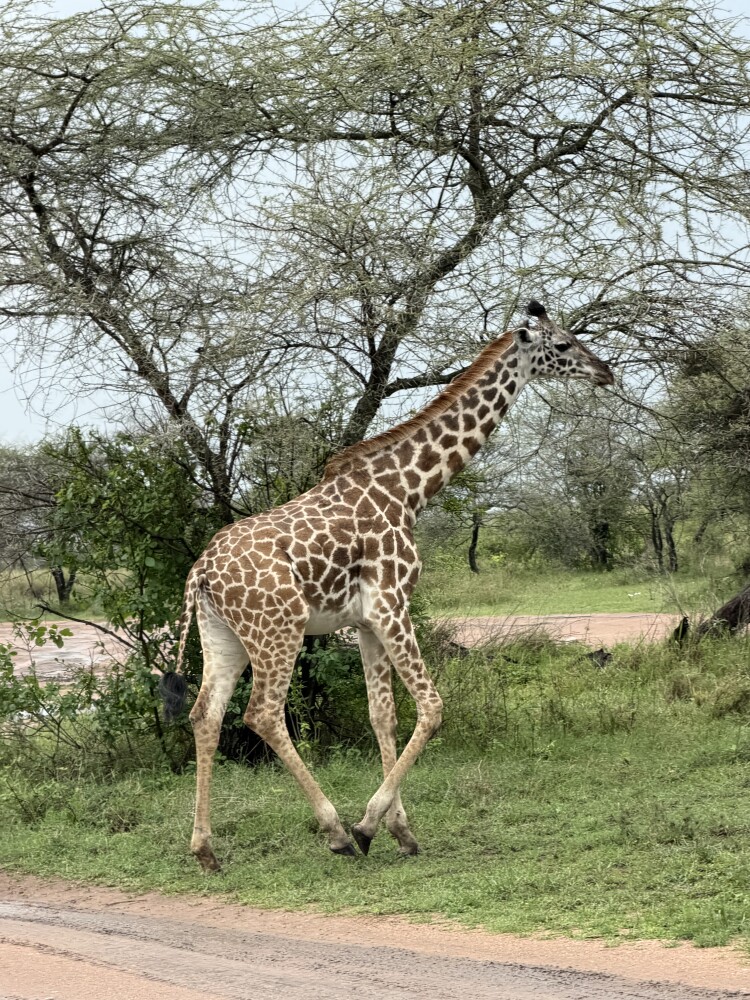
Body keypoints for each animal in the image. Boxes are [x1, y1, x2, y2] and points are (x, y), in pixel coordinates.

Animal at [160, 300, 614, 870]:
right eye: (563, 344)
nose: (606, 371)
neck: (409, 489)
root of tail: (200, 573)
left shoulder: (365, 621)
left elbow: (384, 715)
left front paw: (400, 829)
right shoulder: (393, 604)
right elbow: (433, 706)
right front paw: (368, 825)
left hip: (223, 635)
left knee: (206, 714)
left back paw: (205, 850)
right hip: (279, 628)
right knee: (262, 714)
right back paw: (333, 830)